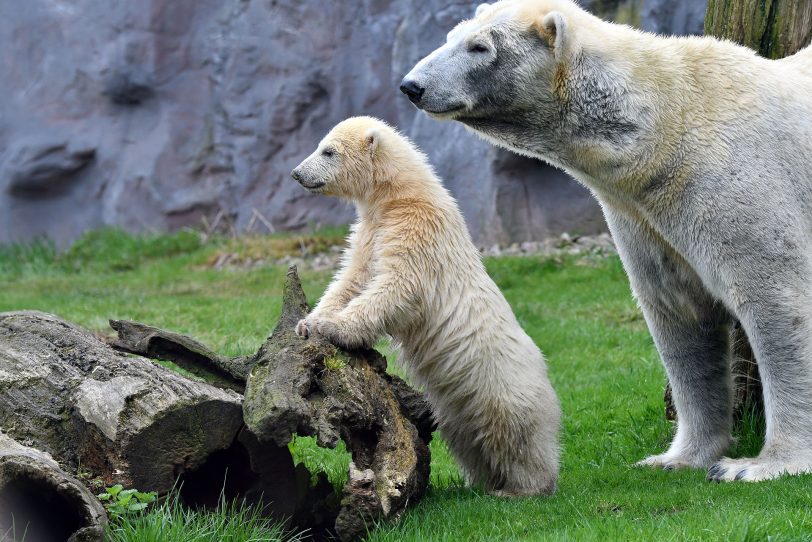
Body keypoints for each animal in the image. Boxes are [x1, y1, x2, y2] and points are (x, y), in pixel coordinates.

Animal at [402, 0, 812, 484]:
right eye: (452, 36)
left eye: (480, 46)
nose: (412, 86)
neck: (665, 125)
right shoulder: (644, 216)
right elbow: (679, 315)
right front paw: (677, 457)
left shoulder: (734, 180)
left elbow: (778, 303)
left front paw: (759, 466)